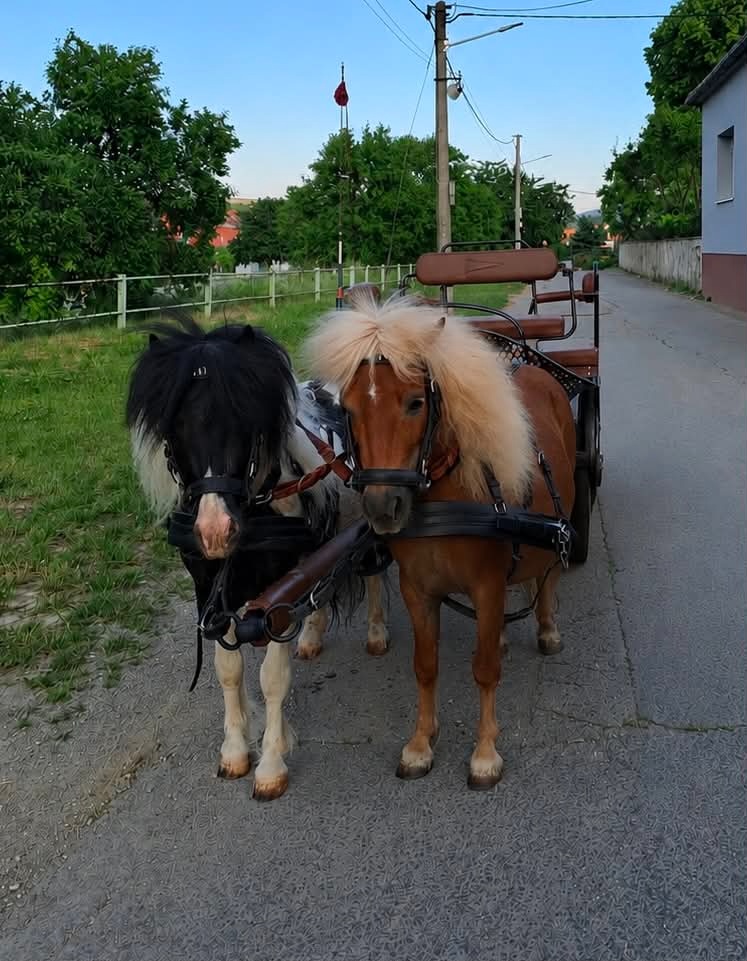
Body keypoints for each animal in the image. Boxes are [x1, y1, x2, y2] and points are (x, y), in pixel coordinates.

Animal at [126, 315, 389, 800]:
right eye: (173, 427)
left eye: (244, 417)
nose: (215, 530)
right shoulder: (209, 590)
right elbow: (228, 669)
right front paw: (234, 750)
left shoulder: (275, 596)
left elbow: (272, 679)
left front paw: (270, 763)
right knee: (317, 591)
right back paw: (312, 637)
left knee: (375, 574)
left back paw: (377, 633)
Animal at [306, 295, 576, 789]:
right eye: (348, 409)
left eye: (415, 403)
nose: (383, 507)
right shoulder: (418, 590)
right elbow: (425, 666)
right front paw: (420, 744)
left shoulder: (486, 586)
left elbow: (484, 670)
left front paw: (485, 753)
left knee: (547, 575)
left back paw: (547, 628)